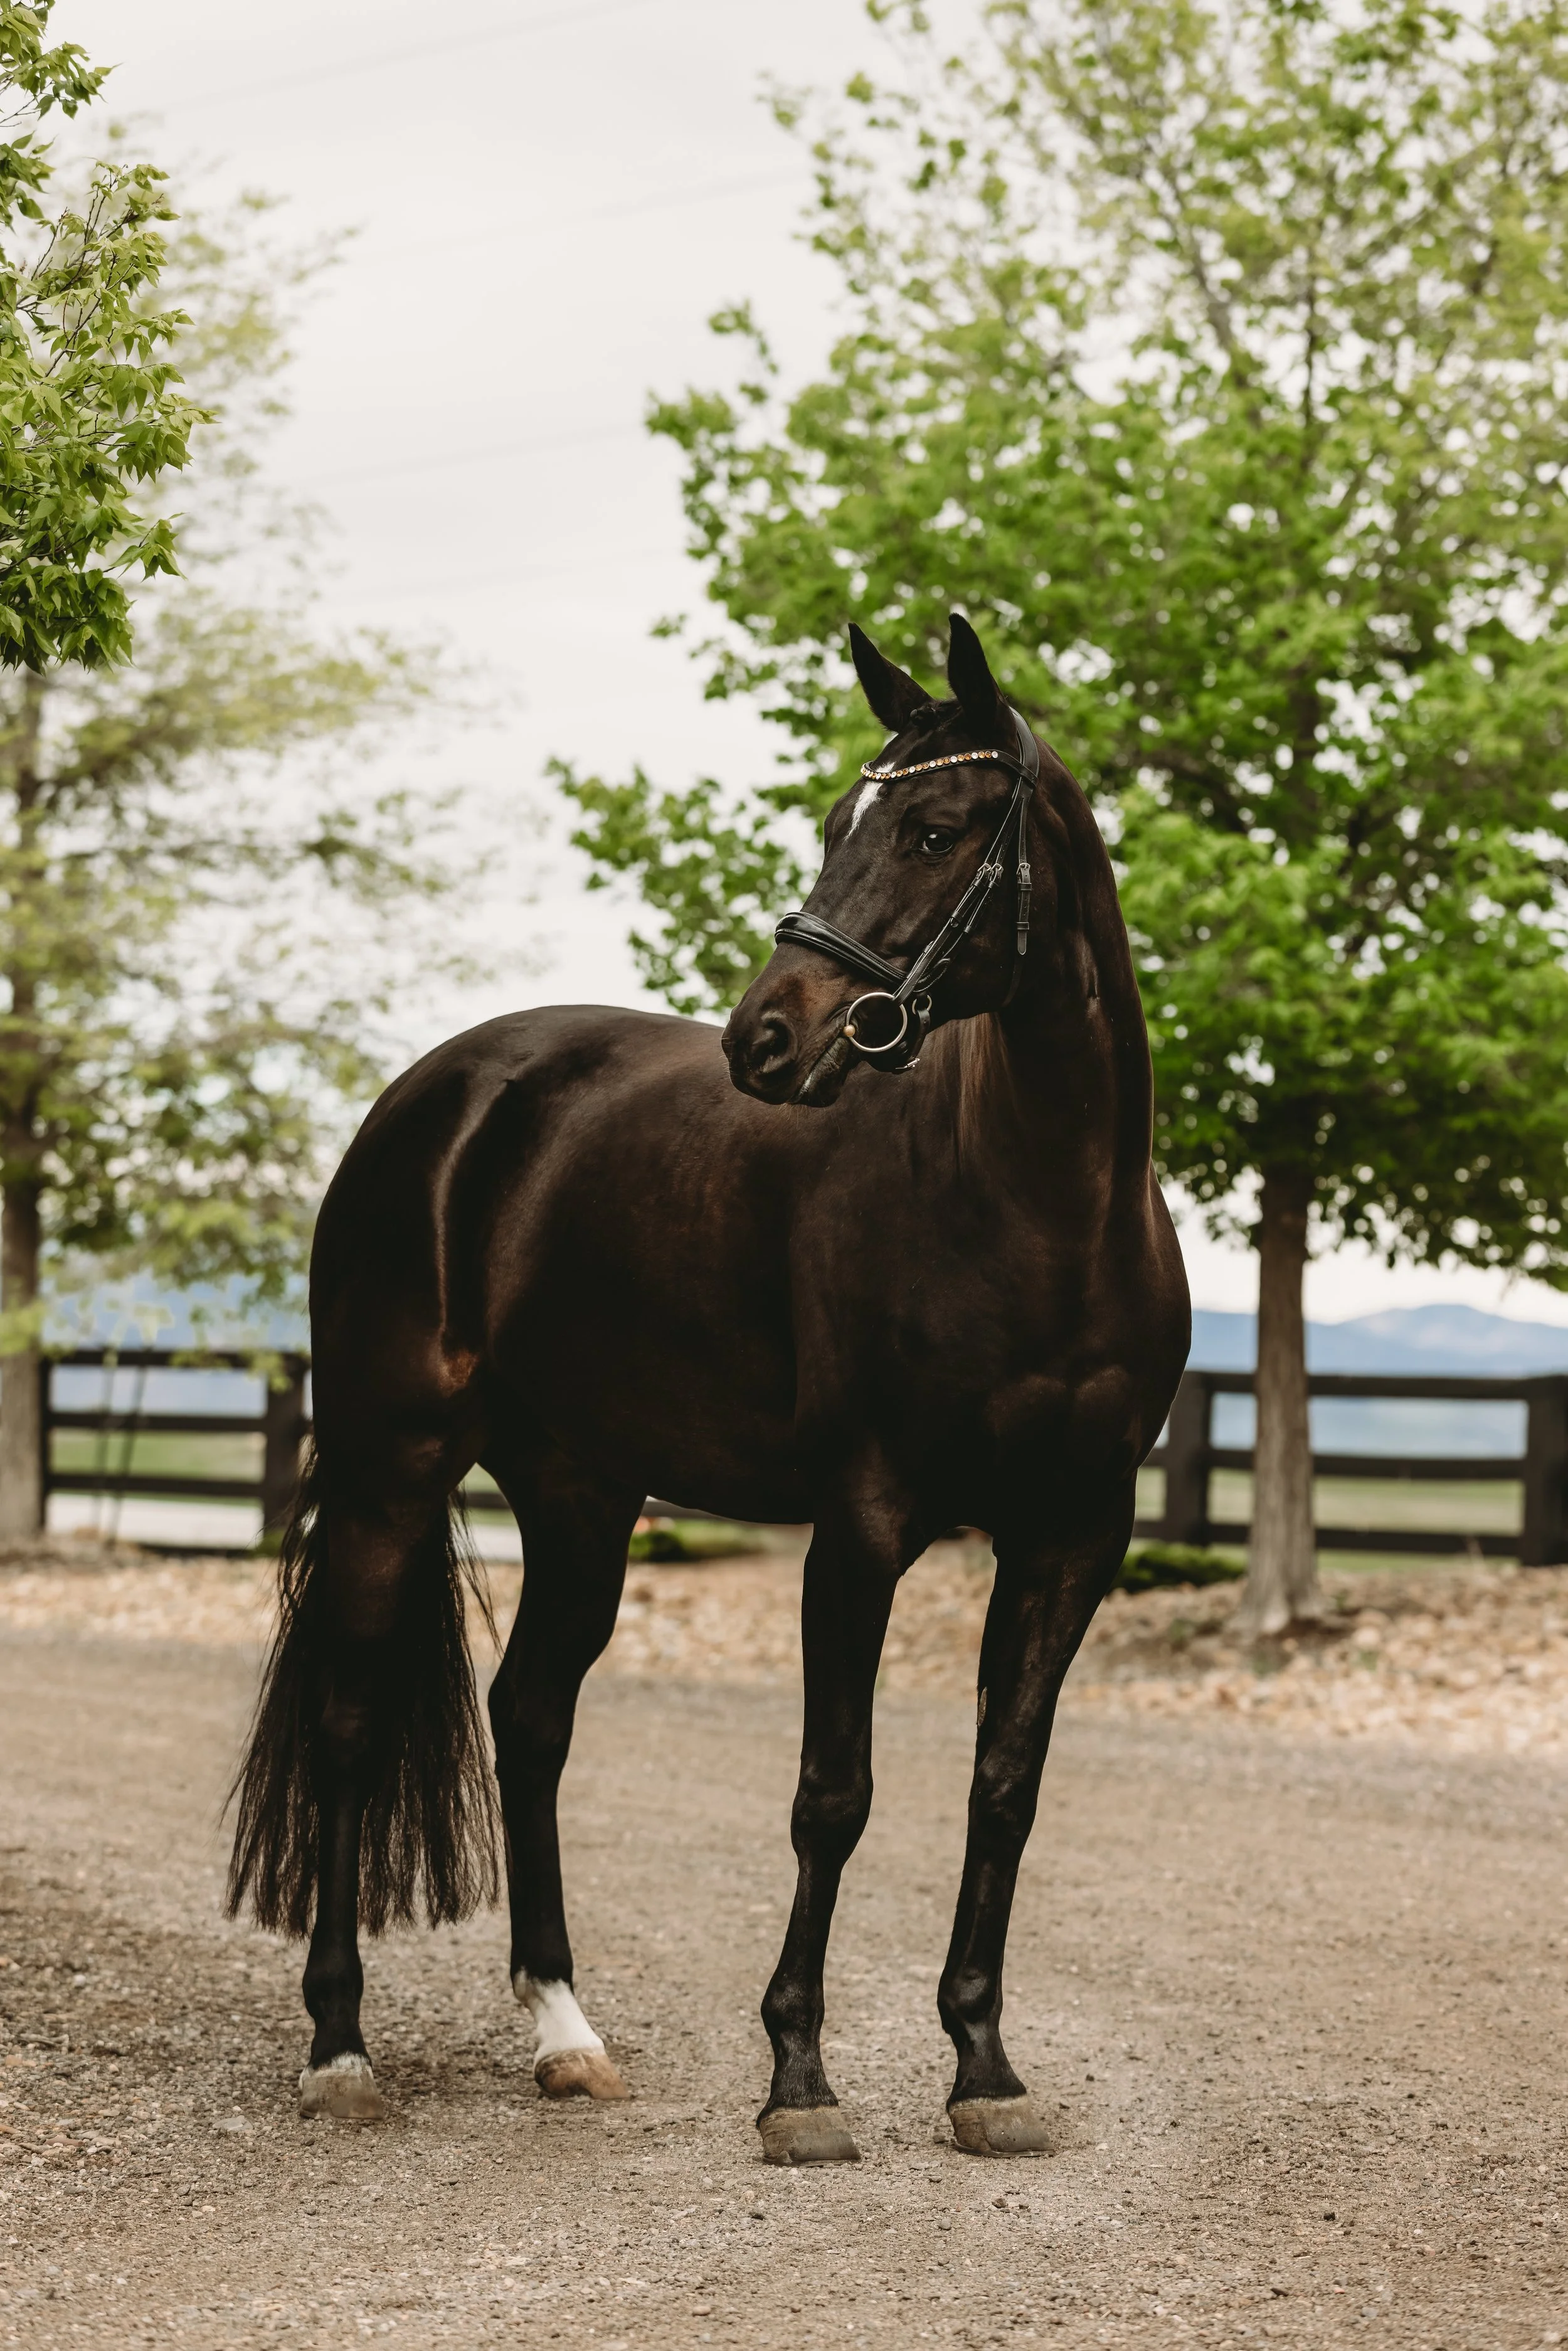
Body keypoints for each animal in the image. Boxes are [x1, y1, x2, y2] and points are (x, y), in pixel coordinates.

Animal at [227, 612, 1190, 2162]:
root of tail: (444, 1091)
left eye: (931, 829)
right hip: (391, 1466)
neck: (1042, 1210)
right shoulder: (861, 1527)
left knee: (528, 1717)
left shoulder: (1071, 1538)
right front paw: (799, 2080)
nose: (767, 1039)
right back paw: (339, 2047)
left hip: (579, 1498)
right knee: (352, 1720)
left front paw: (984, 2070)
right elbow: (832, 1794)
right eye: (833, 824)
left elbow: (1004, 1789)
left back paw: (564, 2032)